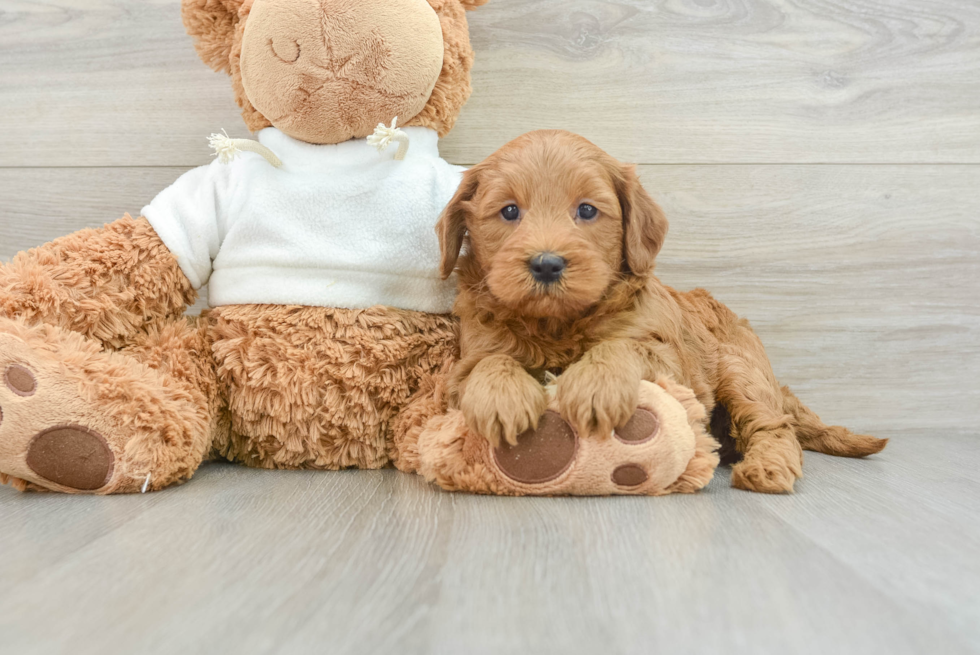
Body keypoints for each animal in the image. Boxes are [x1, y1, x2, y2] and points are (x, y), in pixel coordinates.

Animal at [438, 131, 888, 494]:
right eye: (509, 211)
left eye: (587, 210)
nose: (547, 264)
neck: (559, 325)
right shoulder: (467, 359)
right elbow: (487, 363)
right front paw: (503, 400)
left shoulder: (672, 360)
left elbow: (625, 347)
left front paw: (595, 386)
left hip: (740, 369)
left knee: (774, 426)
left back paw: (766, 469)